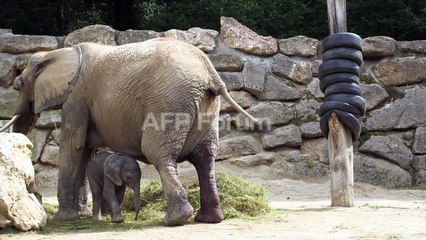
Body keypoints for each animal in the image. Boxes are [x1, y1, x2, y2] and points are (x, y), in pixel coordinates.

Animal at [0, 38, 262, 226]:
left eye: (19, 85)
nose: (35, 195)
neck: (59, 53)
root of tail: (211, 72)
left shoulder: (76, 98)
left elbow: (73, 145)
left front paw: (64, 219)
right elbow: (84, 149)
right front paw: (83, 216)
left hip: (169, 102)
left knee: (158, 152)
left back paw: (175, 220)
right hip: (205, 107)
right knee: (204, 158)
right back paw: (208, 219)